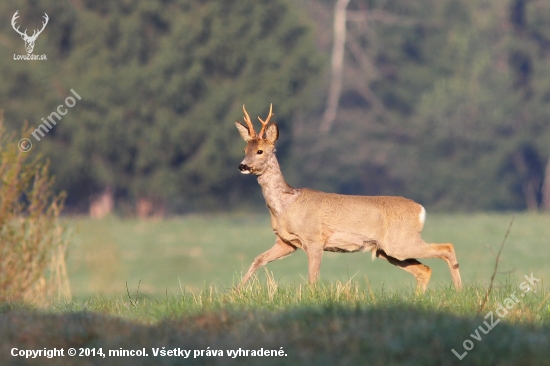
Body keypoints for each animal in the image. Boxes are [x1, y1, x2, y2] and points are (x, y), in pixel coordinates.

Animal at [235, 104, 464, 294]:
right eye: (245, 149)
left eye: (260, 151)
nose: (242, 166)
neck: (286, 204)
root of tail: (420, 210)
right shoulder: (286, 242)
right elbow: (258, 259)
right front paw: (237, 290)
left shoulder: (314, 238)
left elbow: (312, 278)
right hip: (388, 250)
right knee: (425, 270)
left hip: (400, 242)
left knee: (447, 248)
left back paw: (459, 291)